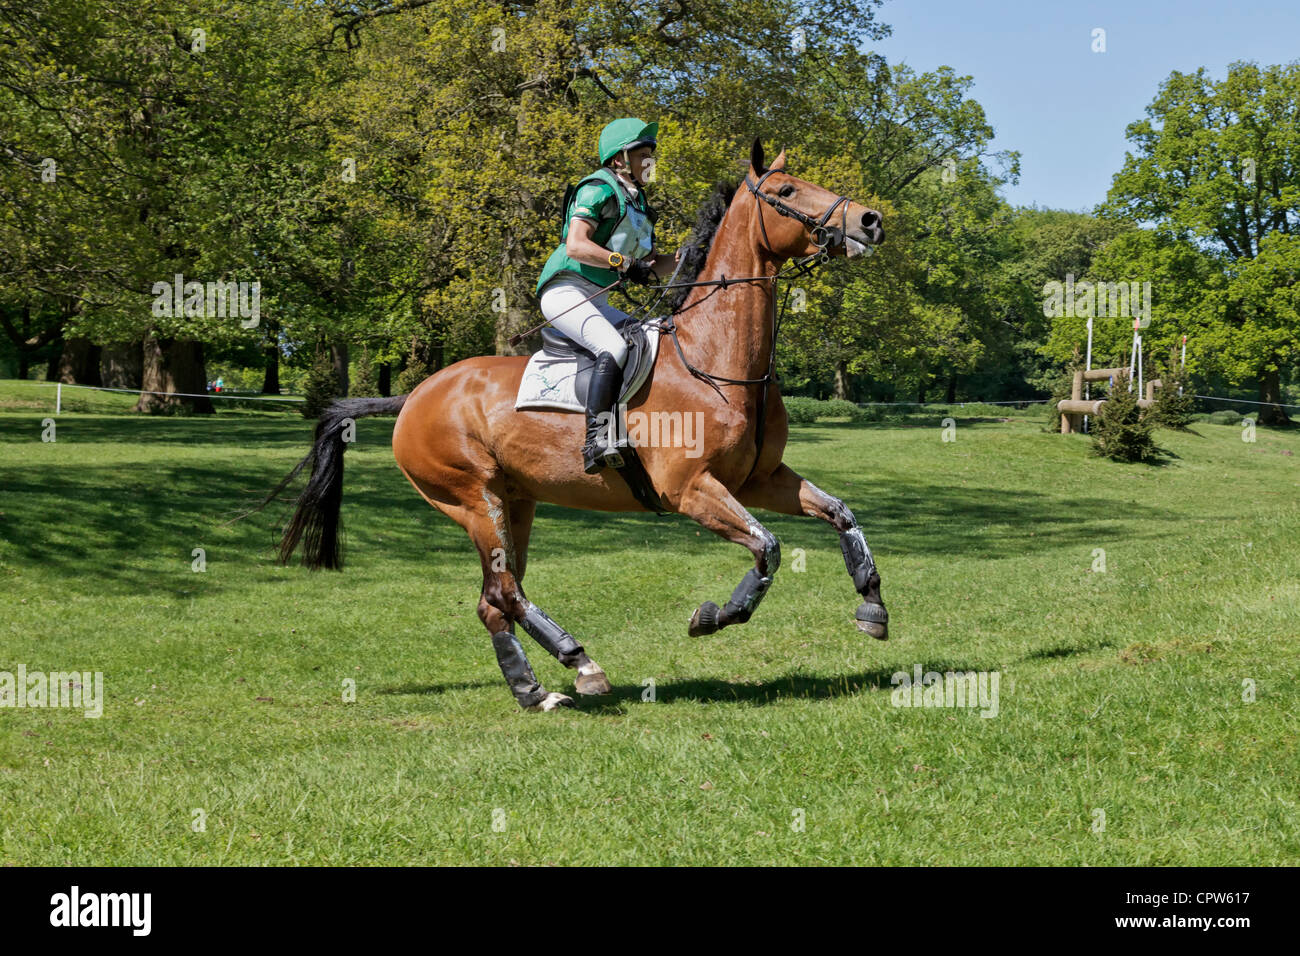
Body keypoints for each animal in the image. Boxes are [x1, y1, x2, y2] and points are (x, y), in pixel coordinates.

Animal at [265, 138, 889, 711]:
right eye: (786, 191)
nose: (870, 220)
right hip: (472, 499)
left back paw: (535, 690)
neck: (715, 357)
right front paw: (713, 615)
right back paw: (580, 663)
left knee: (493, 599)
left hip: (515, 502)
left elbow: (840, 513)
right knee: (505, 593)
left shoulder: (759, 480)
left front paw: (873, 606)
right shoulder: (691, 490)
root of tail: (415, 395)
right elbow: (768, 547)